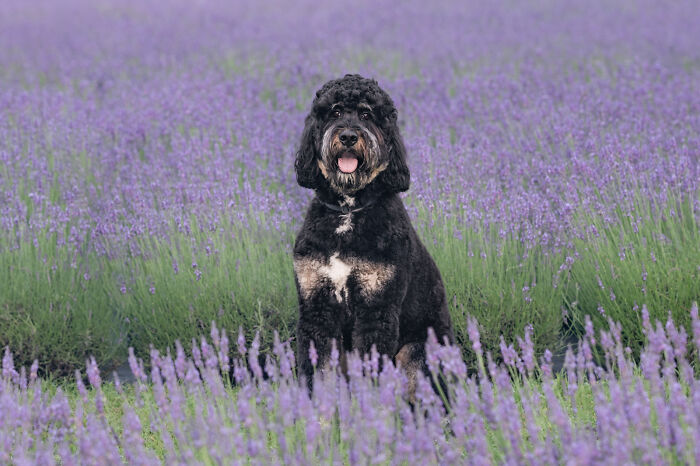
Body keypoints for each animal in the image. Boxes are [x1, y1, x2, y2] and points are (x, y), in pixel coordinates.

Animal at [294, 74, 454, 396]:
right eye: (335, 112)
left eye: (367, 115)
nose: (348, 137)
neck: (349, 210)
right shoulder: (317, 306)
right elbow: (319, 373)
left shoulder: (377, 309)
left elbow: (371, 369)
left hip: (417, 351)